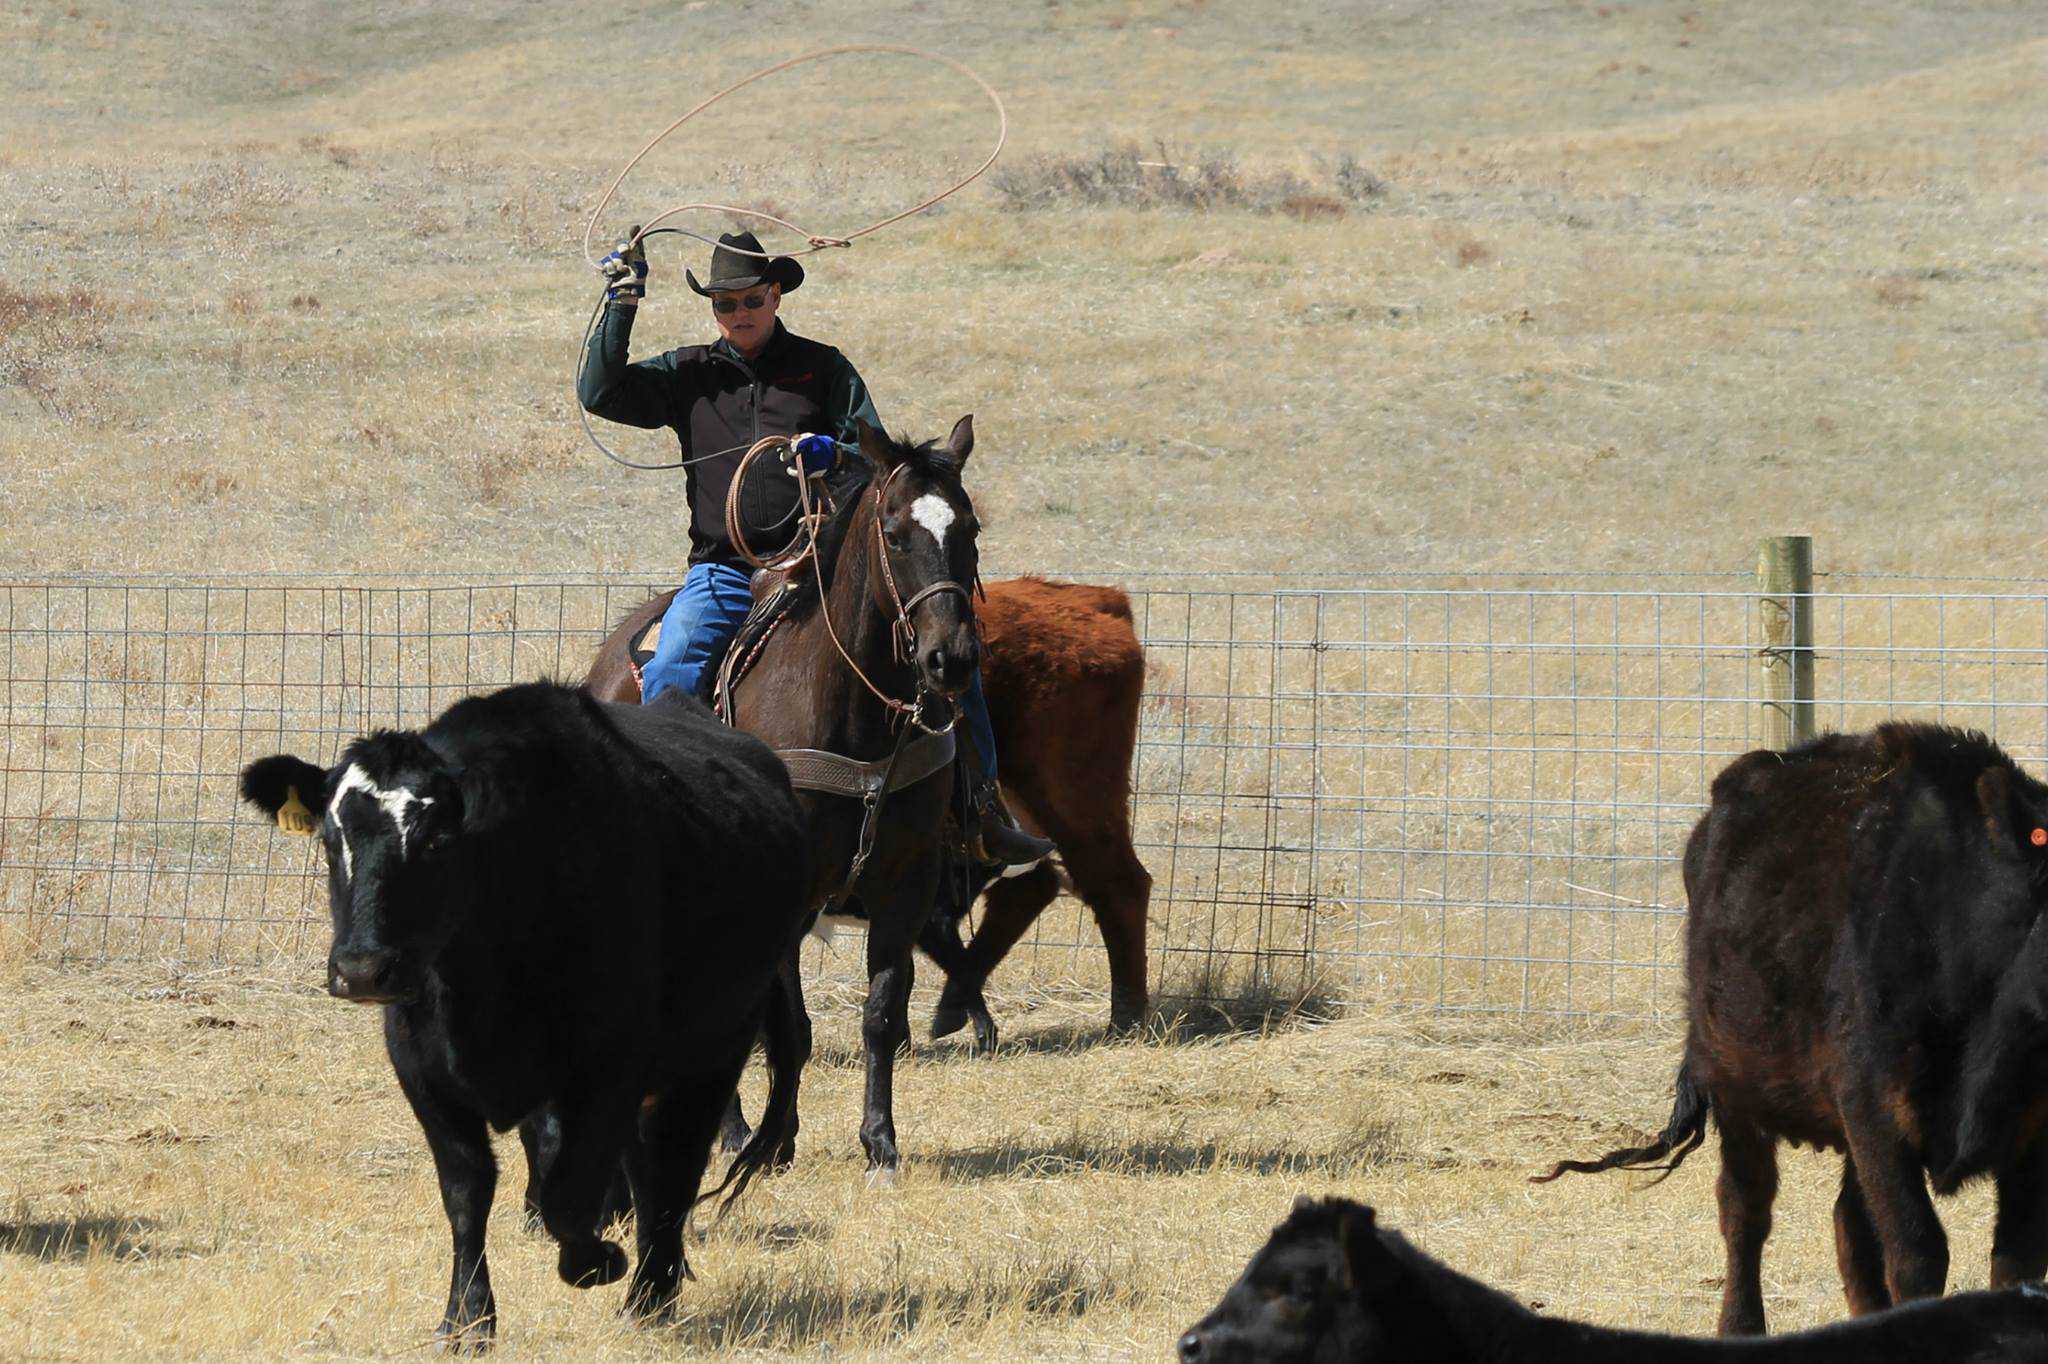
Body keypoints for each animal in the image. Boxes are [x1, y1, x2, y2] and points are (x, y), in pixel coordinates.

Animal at [239, 682, 811, 1350]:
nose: (360, 969)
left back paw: (650, 1291)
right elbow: (467, 1191)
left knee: (675, 1166)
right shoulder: (423, 1070)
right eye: (332, 843)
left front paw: (600, 1260)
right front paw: (466, 1319)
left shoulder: (607, 1072)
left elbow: (570, 1193)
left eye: (436, 840)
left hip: (715, 1048)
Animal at [1537, 723, 2048, 1335]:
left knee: (1848, 1225)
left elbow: (2016, 1261)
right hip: (1731, 1079)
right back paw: (1740, 1325)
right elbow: (1918, 1252)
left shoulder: (2030, 1135)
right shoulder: (1875, 1112)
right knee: (1745, 1212)